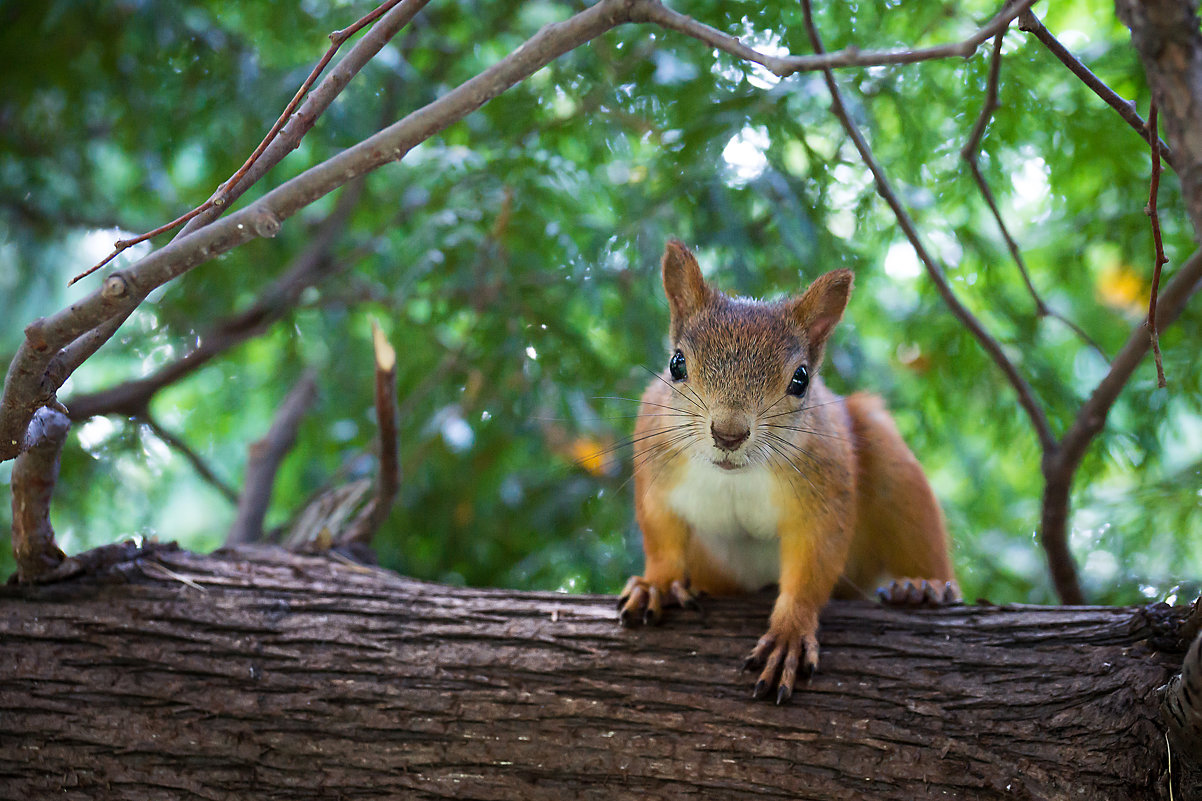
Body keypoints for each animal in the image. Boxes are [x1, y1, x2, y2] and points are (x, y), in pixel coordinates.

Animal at [620, 236, 956, 697]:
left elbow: (813, 562)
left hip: (891, 465)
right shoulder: (657, 473)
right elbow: (661, 535)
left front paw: (790, 633)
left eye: (800, 380)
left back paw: (922, 587)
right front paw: (655, 583)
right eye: (677, 364)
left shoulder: (823, 489)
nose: (728, 434)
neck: (736, 477)